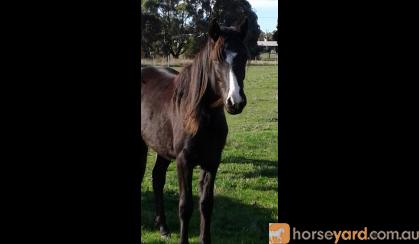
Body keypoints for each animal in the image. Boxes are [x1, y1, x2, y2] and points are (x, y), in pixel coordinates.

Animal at [141, 17, 249, 244]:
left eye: (244, 57)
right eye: (216, 60)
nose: (235, 102)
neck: (201, 116)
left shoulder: (212, 161)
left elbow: (206, 204)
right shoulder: (184, 161)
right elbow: (185, 206)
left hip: (163, 149)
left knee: (157, 179)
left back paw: (163, 228)